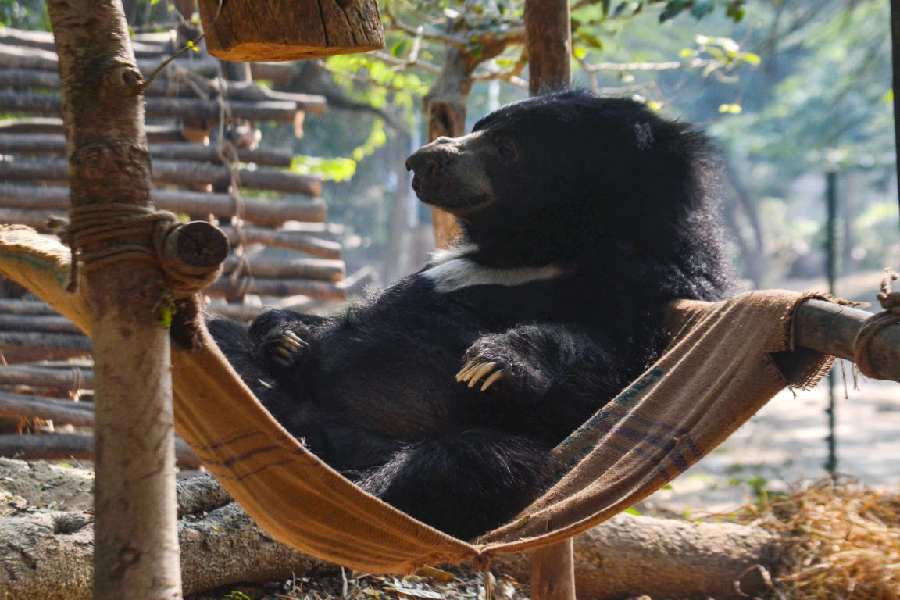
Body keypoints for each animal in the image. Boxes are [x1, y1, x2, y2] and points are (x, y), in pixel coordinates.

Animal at [209, 90, 728, 540]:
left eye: (506, 147)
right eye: (480, 127)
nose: (420, 160)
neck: (532, 245)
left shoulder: (643, 288)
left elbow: (599, 363)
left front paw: (492, 363)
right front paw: (285, 336)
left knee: (464, 464)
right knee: (220, 342)